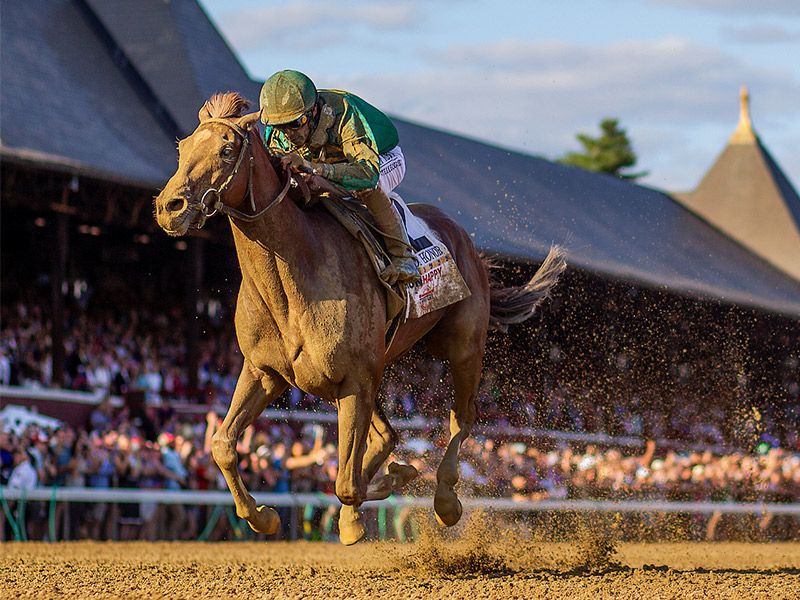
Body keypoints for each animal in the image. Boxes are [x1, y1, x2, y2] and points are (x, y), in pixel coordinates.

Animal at [155, 92, 568, 544]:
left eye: (227, 150)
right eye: (181, 149)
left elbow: (346, 483)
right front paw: (264, 517)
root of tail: (467, 244)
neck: (294, 271)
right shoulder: (267, 372)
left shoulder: (354, 379)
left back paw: (444, 498)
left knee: (462, 416)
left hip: (459, 348)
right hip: (367, 372)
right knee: (389, 435)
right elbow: (223, 444)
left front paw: (356, 517)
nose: (169, 207)